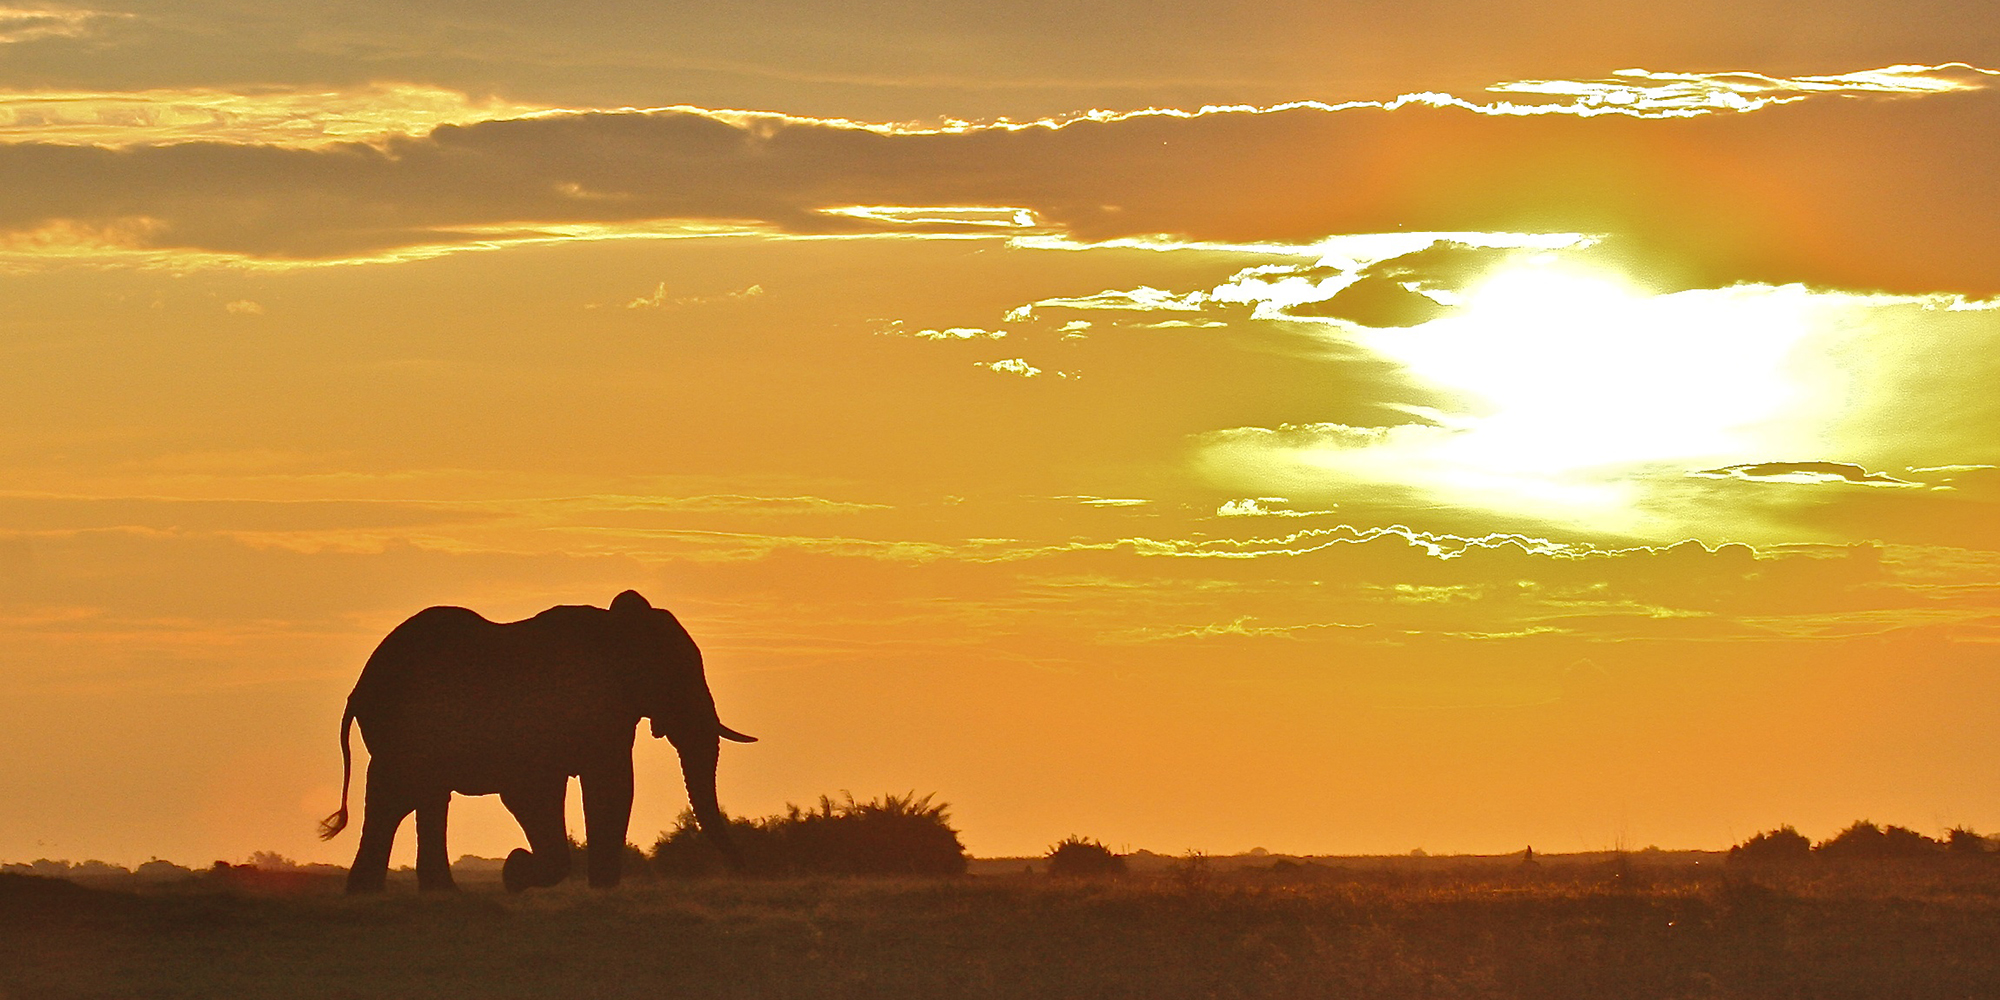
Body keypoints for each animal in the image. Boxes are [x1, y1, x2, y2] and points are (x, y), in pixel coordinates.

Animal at [319, 590, 756, 893]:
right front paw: (515, 872)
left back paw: (427, 894)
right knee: (398, 794)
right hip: (401, 726)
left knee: (417, 796)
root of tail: (359, 687)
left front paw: (600, 888)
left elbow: (612, 786)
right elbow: (544, 791)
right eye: (679, 676)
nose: (742, 871)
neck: (617, 628)